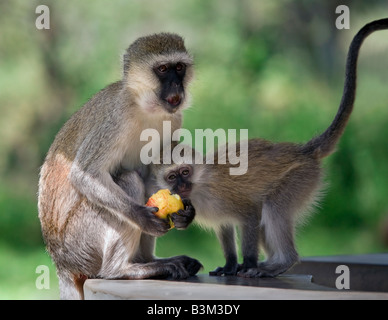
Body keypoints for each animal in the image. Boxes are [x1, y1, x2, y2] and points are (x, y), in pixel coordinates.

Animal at [37, 33, 202, 300]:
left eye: (179, 67)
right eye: (163, 69)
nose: (177, 86)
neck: (147, 108)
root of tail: (62, 263)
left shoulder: (175, 118)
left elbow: (155, 175)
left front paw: (186, 213)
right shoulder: (117, 117)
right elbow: (86, 175)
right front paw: (141, 217)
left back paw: (148, 260)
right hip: (82, 244)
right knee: (129, 180)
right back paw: (121, 270)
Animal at [149, 18, 388, 278]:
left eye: (185, 172)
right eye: (172, 177)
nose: (182, 185)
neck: (200, 185)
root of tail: (303, 151)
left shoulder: (223, 195)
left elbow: (251, 214)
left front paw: (248, 263)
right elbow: (225, 227)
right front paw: (230, 264)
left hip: (301, 178)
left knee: (272, 207)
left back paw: (279, 263)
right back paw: (271, 261)